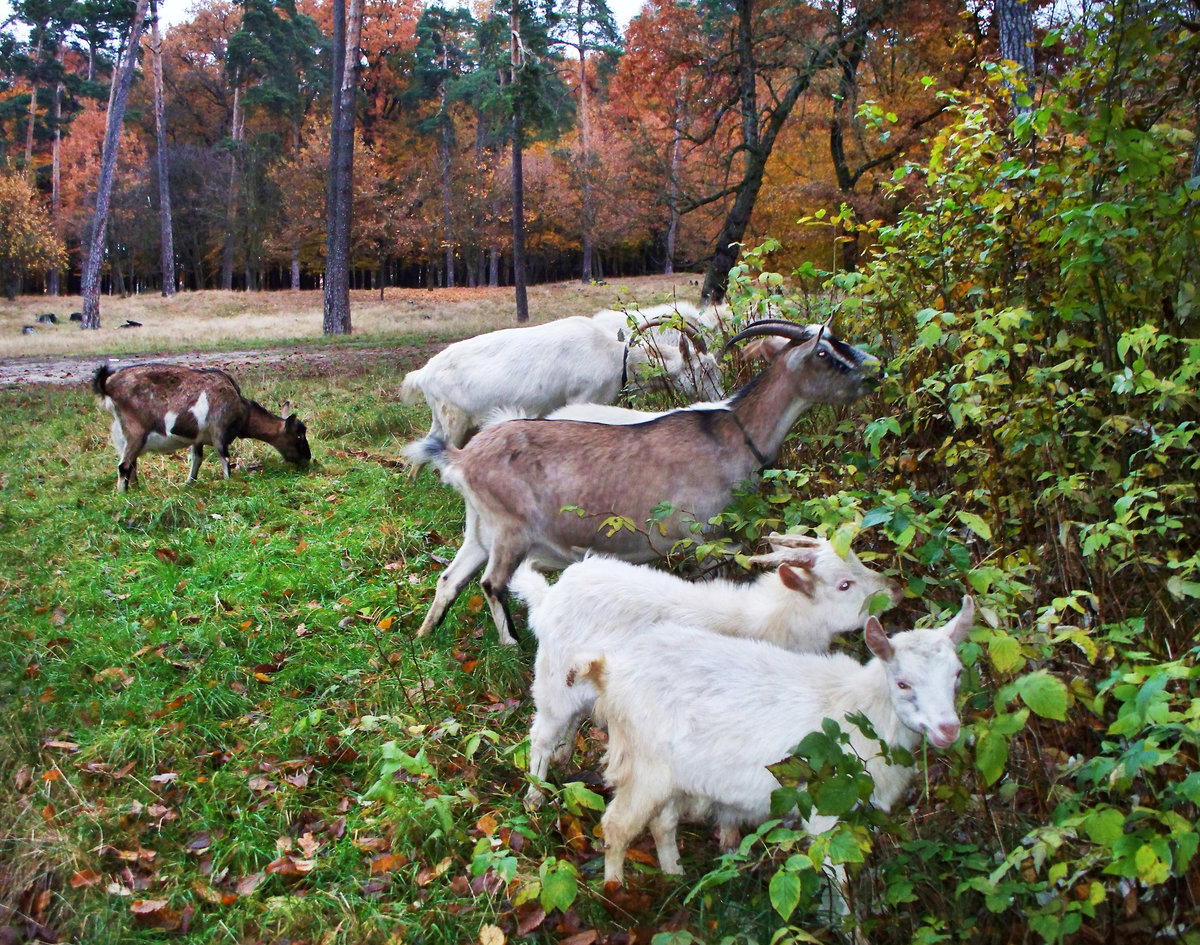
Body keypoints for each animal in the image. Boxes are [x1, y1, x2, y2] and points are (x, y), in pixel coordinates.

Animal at [93, 363, 310, 491]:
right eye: (299, 435)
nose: (308, 458)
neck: (241, 409)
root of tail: (108, 384)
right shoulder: (219, 432)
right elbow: (225, 459)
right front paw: (228, 482)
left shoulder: (197, 438)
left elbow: (197, 459)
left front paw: (189, 483)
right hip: (135, 431)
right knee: (124, 466)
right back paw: (125, 496)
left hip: (124, 435)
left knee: (131, 465)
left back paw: (137, 490)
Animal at [399, 302, 722, 477]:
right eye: (704, 369)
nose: (719, 398)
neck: (617, 357)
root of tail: (423, 374)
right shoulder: (583, 399)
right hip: (454, 420)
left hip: (446, 420)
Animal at [405, 320, 882, 645]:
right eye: (825, 354)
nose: (873, 374)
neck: (733, 432)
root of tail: (461, 457)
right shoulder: (702, 537)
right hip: (510, 530)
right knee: (491, 583)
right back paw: (511, 644)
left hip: (479, 528)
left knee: (450, 579)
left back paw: (425, 634)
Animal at [509, 532, 904, 807]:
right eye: (844, 585)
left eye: (857, 560)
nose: (896, 590)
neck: (768, 621)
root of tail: (548, 597)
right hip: (552, 682)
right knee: (540, 734)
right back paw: (535, 795)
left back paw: (564, 754)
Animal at [573, 596, 974, 887]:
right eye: (903, 683)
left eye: (957, 673)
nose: (948, 729)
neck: (862, 708)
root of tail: (609, 671)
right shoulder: (825, 807)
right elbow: (837, 877)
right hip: (645, 766)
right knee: (618, 825)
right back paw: (615, 889)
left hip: (671, 776)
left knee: (662, 824)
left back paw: (675, 875)